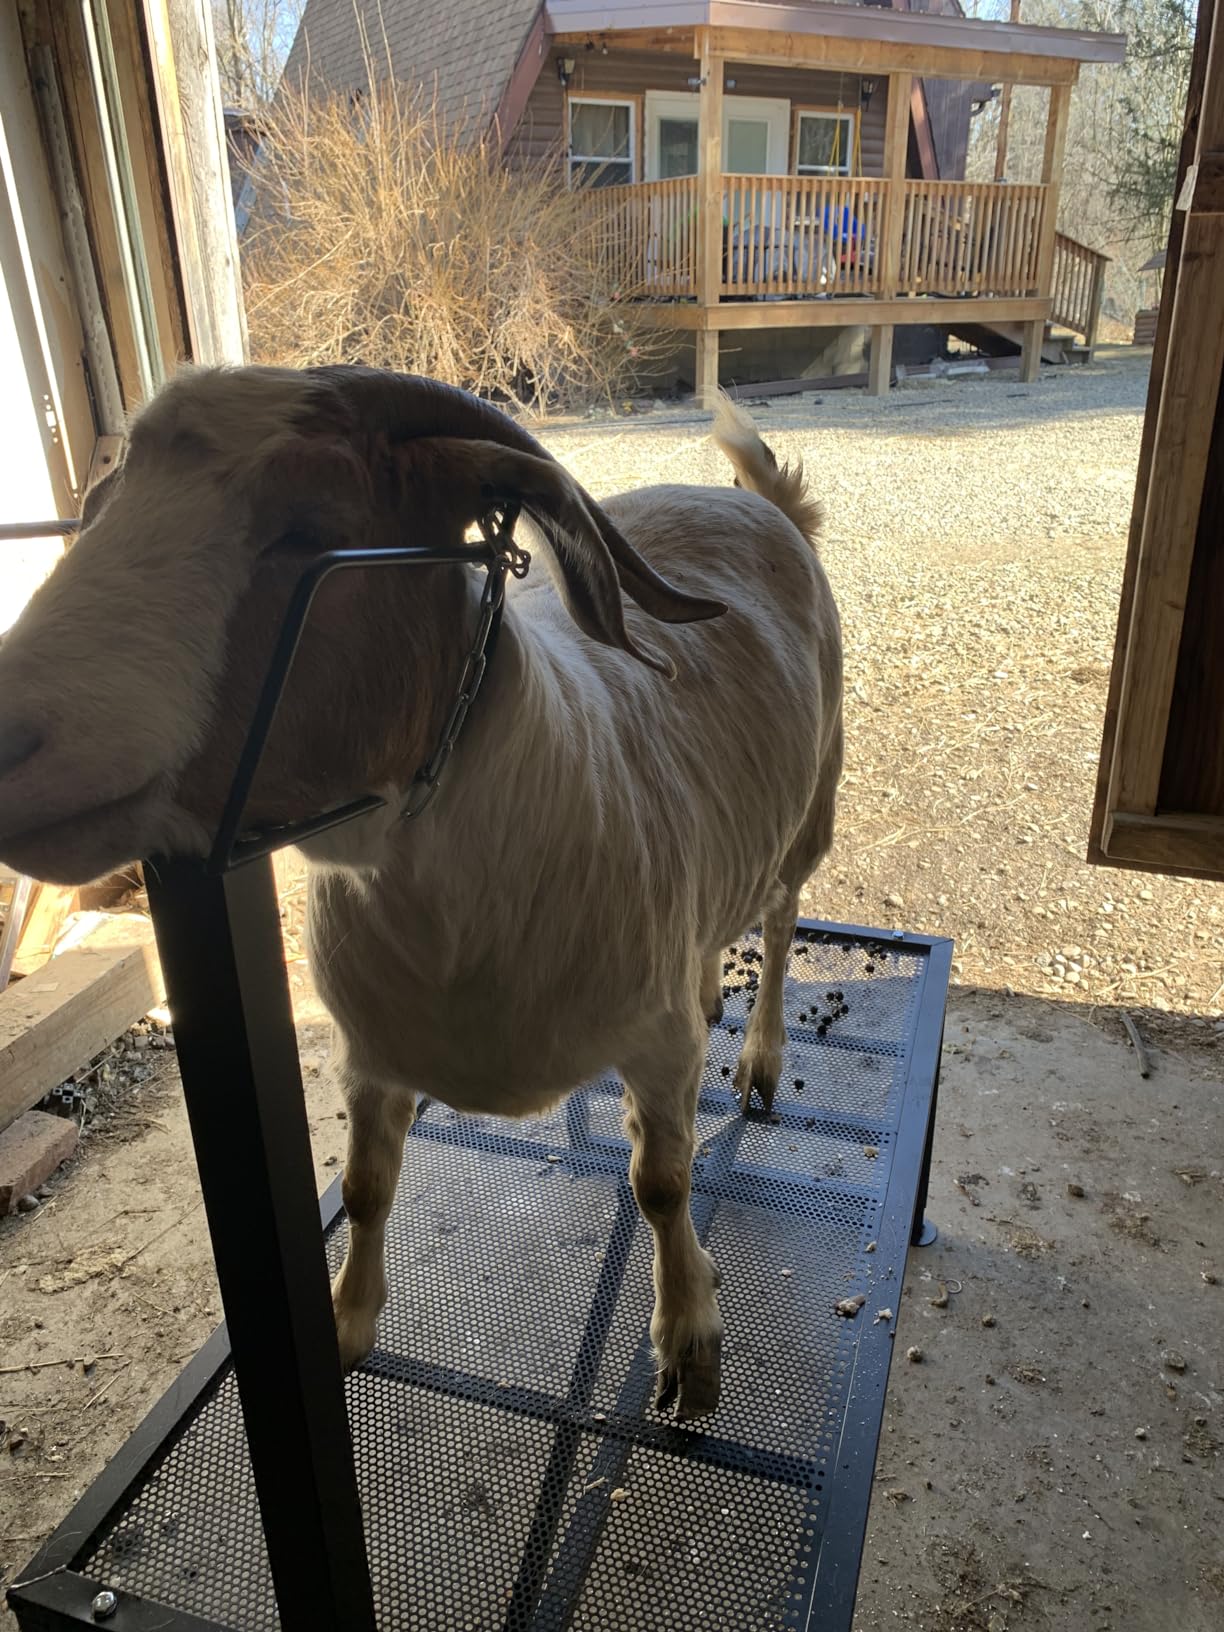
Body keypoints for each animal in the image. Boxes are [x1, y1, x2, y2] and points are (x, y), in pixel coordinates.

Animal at [0, 365, 843, 1420]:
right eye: (102, 505)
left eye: (308, 527)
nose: (5, 734)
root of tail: (760, 504)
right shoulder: (371, 1052)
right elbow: (367, 1184)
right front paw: (348, 1324)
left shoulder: (651, 1046)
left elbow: (663, 1182)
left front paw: (688, 1342)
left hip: (814, 803)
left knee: (779, 915)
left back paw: (761, 1059)